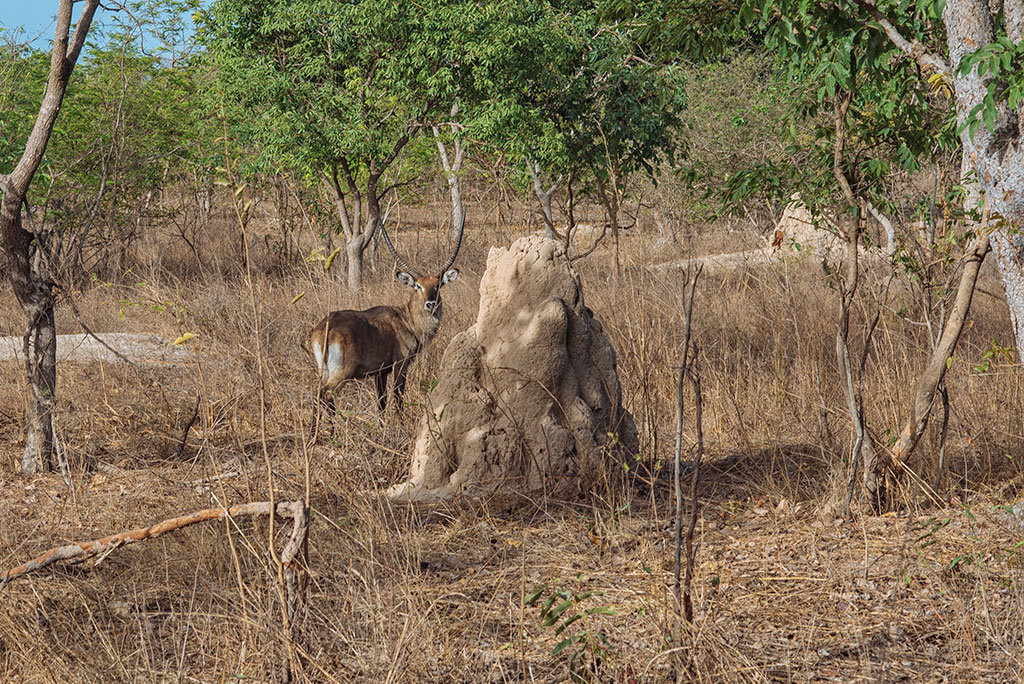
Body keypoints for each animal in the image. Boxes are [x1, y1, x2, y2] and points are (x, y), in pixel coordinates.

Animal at [305, 215, 462, 417]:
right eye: (417, 286)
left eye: (437, 285)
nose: (430, 304)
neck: (407, 320)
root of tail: (326, 328)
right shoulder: (400, 366)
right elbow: (398, 398)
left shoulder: (380, 372)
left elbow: (381, 402)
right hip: (341, 373)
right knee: (324, 395)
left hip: (324, 372)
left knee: (319, 396)